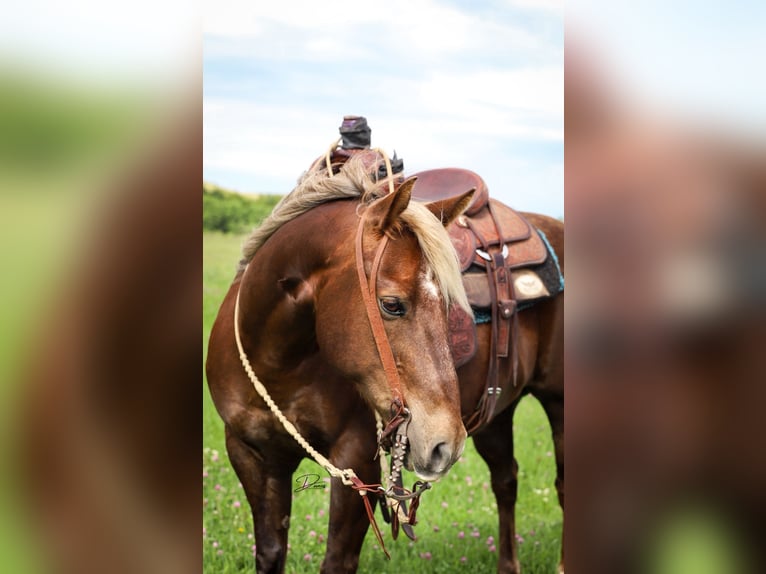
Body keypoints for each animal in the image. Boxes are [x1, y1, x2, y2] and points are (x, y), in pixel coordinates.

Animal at [207, 154, 568, 574]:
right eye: (392, 304)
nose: (445, 442)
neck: (278, 364)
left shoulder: (356, 463)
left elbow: (337, 561)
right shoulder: (252, 455)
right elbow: (269, 553)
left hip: (556, 402)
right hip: (496, 411)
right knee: (505, 479)